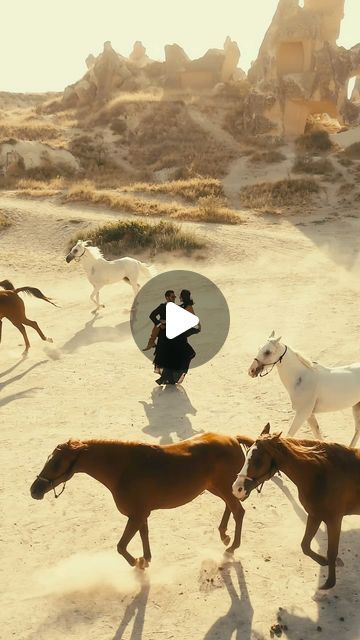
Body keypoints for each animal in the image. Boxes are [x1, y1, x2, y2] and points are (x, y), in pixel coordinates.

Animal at [31, 432, 253, 568]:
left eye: (56, 463)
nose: (34, 490)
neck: (123, 470)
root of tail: (233, 439)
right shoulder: (141, 514)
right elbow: (143, 535)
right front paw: (146, 559)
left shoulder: (136, 516)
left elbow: (121, 546)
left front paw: (137, 563)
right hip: (217, 487)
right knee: (230, 506)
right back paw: (224, 534)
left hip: (223, 487)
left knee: (238, 511)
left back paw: (232, 546)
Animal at [232, 422, 360, 592]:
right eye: (246, 455)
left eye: (258, 460)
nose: (236, 489)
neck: (321, 473)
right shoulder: (315, 515)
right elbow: (305, 545)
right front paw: (323, 561)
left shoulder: (334, 519)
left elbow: (332, 552)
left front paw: (329, 583)